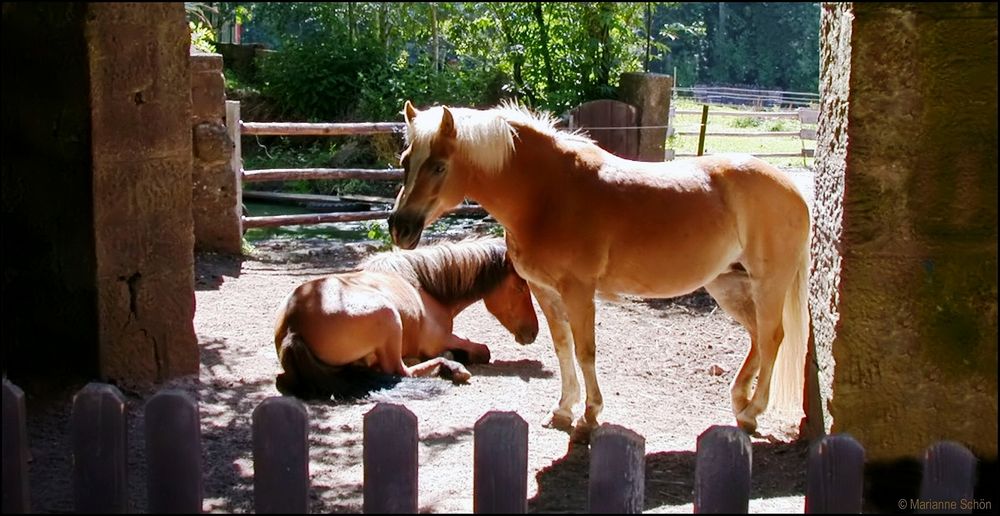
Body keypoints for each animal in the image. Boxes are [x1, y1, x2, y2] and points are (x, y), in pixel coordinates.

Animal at [274, 238, 540, 400]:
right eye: (520, 287)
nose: (533, 332)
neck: (424, 285)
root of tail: (293, 325)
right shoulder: (439, 339)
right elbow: (483, 350)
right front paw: (455, 356)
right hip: (390, 318)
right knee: (400, 371)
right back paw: (451, 366)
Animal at [386, 102, 808, 444]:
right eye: (406, 161)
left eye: (439, 166)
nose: (400, 228)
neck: (546, 194)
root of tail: (794, 188)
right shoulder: (545, 291)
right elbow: (562, 347)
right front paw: (562, 410)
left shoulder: (579, 291)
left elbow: (585, 351)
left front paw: (588, 418)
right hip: (727, 285)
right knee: (757, 337)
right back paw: (740, 402)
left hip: (768, 285)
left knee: (773, 338)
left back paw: (752, 413)